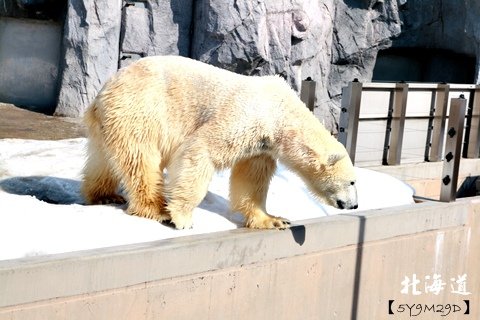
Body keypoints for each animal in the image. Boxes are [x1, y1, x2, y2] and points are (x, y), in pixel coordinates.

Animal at [81, 55, 356, 230]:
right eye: (353, 182)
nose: (354, 205)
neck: (280, 112)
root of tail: (106, 89)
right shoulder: (246, 116)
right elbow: (201, 149)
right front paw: (181, 217)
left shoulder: (261, 146)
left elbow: (251, 179)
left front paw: (273, 219)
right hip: (140, 109)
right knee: (140, 158)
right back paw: (156, 208)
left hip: (113, 119)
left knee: (104, 159)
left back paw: (104, 196)